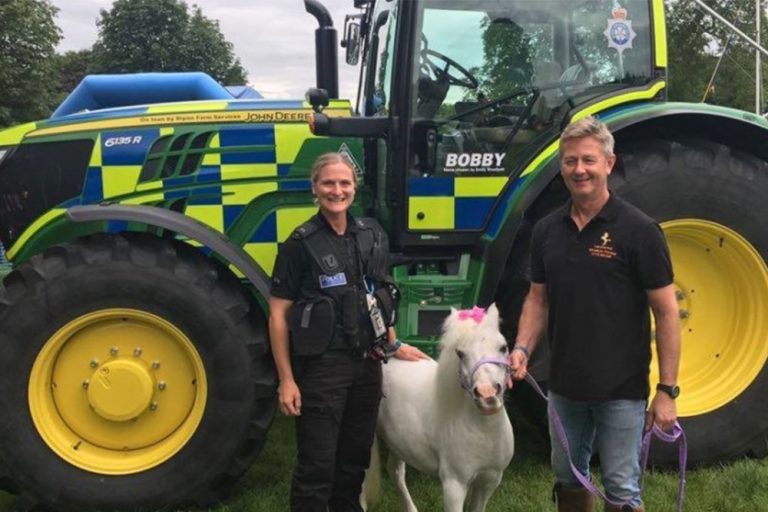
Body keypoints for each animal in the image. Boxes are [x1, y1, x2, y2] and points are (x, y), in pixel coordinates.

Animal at [368, 304, 512, 512]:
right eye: (460, 353)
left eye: (503, 347)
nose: (487, 394)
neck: (483, 431)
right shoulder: (454, 486)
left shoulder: (489, 481)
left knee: (395, 471)